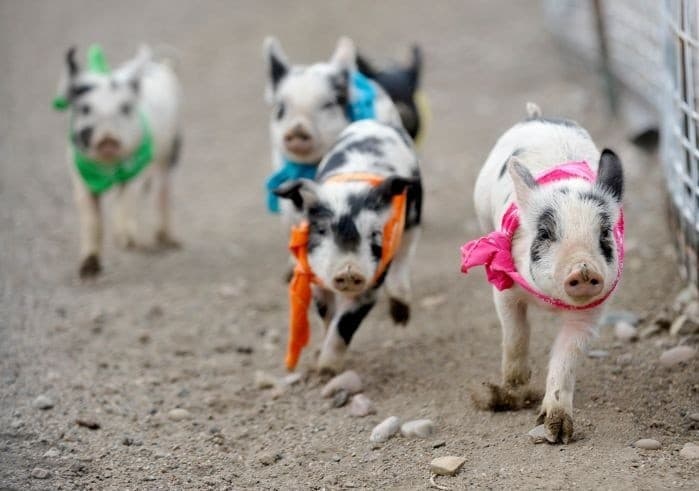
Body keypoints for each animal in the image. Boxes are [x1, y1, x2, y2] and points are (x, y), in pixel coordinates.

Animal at [55, 45, 182, 278]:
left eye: (125, 108)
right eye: (85, 108)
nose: (108, 139)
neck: (108, 166)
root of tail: (162, 65)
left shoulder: (140, 167)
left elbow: (128, 198)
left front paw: (126, 240)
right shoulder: (78, 175)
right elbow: (91, 219)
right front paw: (87, 271)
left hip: (169, 153)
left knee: (161, 190)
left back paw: (168, 242)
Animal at [274, 120, 422, 373]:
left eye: (374, 233)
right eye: (321, 230)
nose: (349, 270)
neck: (351, 191)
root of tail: (375, 122)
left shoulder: (373, 281)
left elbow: (345, 324)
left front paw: (326, 370)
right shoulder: (315, 278)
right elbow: (327, 315)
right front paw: (319, 361)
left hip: (413, 219)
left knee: (404, 255)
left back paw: (401, 318)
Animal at [466, 103, 624, 443]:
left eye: (605, 232)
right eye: (545, 233)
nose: (583, 268)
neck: (550, 302)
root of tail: (536, 116)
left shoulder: (592, 313)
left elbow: (566, 358)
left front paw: (557, 433)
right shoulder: (503, 287)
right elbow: (516, 335)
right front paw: (507, 394)